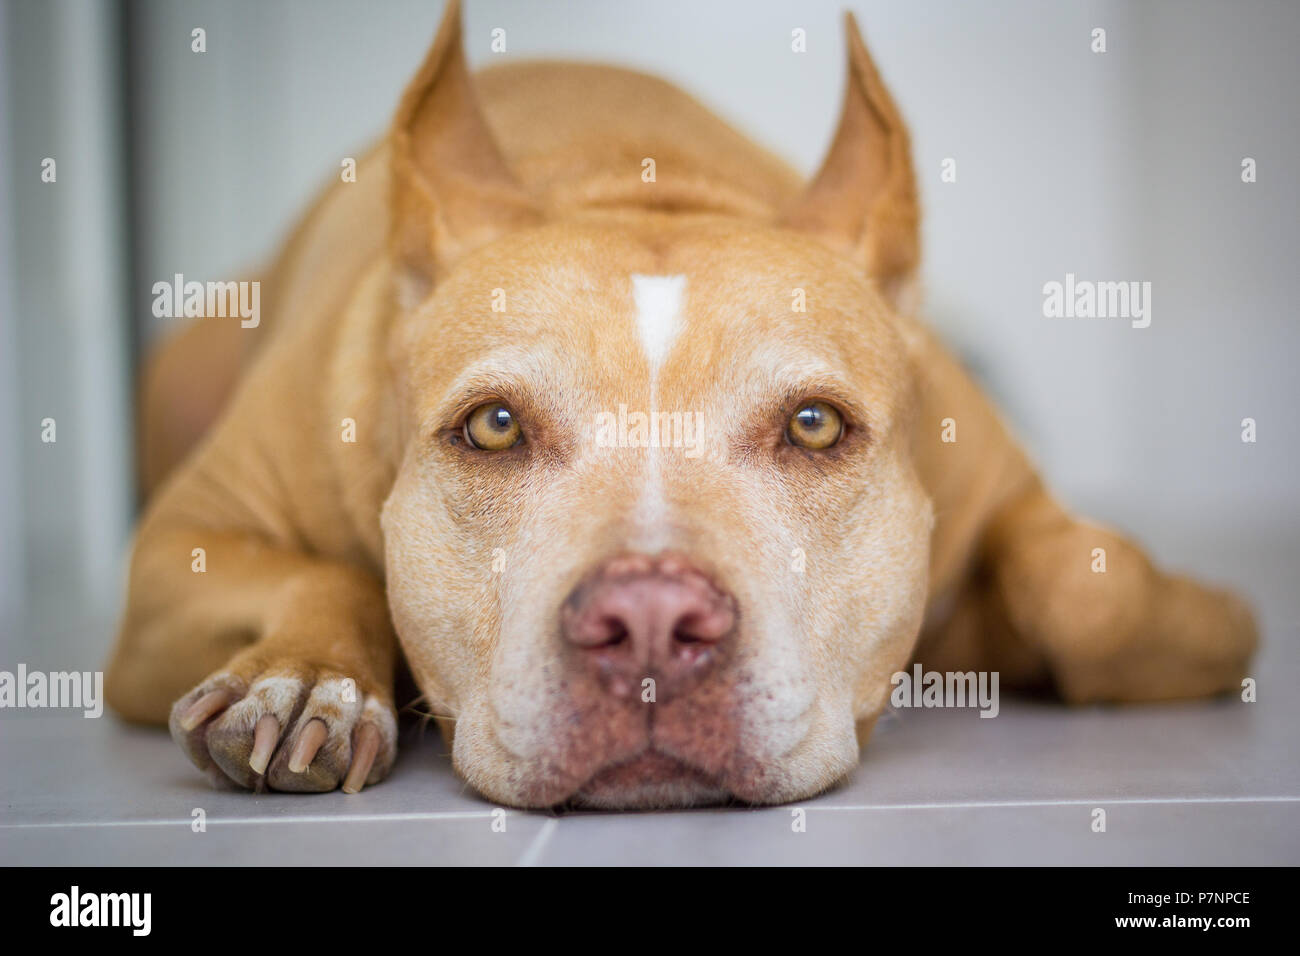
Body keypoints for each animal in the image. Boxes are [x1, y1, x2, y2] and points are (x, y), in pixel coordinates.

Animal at [106, 1, 1253, 806]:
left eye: (813, 424)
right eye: (493, 426)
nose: (651, 621)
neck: (641, 176)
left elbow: (1089, 590)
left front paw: (1210, 618)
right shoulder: (182, 541)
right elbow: (322, 573)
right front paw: (306, 680)